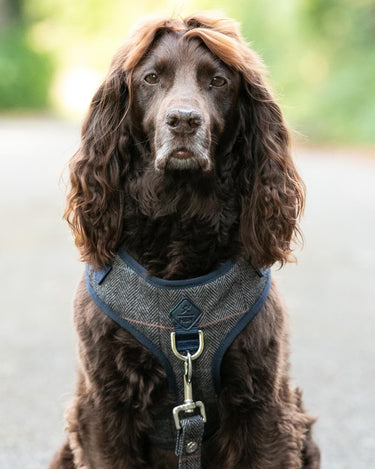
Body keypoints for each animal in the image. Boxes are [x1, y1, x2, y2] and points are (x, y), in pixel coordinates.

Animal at [49, 12, 320, 466]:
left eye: (218, 81)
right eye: (151, 77)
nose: (183, 120)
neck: (179, 218)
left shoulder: (263, 405)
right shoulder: (104, 408)